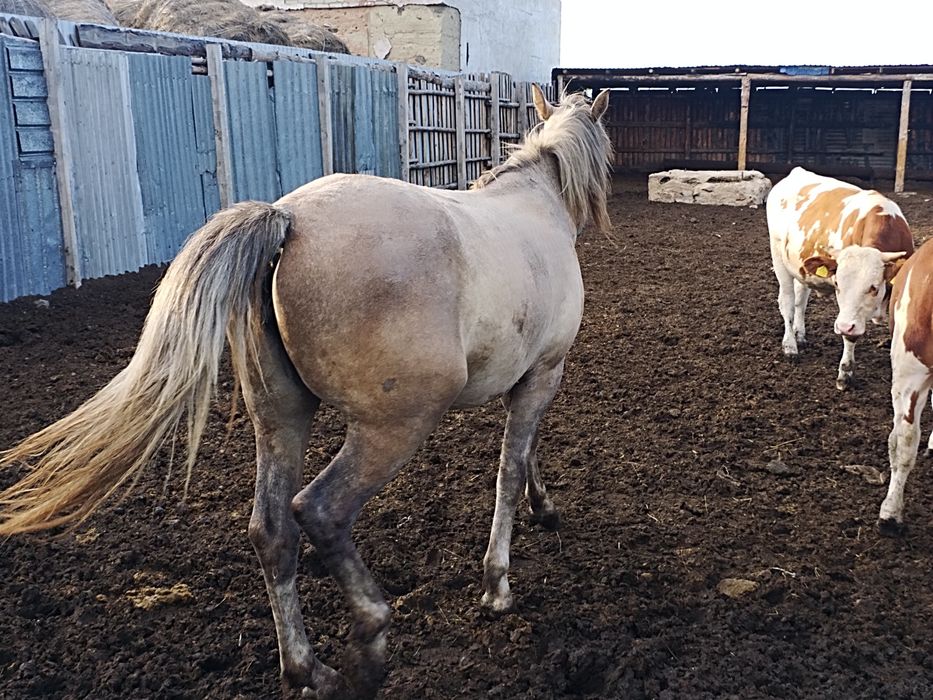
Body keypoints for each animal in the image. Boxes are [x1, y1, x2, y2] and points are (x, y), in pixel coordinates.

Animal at [0, 84, 611, 699]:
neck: (532, 207)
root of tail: (289, 219)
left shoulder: (528, 377)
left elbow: (526, 456)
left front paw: (543, 507)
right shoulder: (545, 372)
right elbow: (509, 470)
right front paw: (498, 584)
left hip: (280, 419)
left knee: (272, 530)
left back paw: (307, 668)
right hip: (394, 426)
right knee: (320, 511)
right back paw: (368, 643)